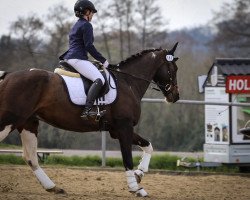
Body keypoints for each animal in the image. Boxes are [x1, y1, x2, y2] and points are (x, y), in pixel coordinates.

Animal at [0, 42, 180, 197]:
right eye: (174, 69)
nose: (175, 96)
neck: (128, 82)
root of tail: (8, 76)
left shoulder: (117, 130)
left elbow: (148, 146)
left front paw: (139, 174)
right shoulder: (124, 127)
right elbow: (127, 158)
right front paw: (136, 188)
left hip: (28, 123)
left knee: (30, 157)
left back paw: (53, 187)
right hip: (9, 120)